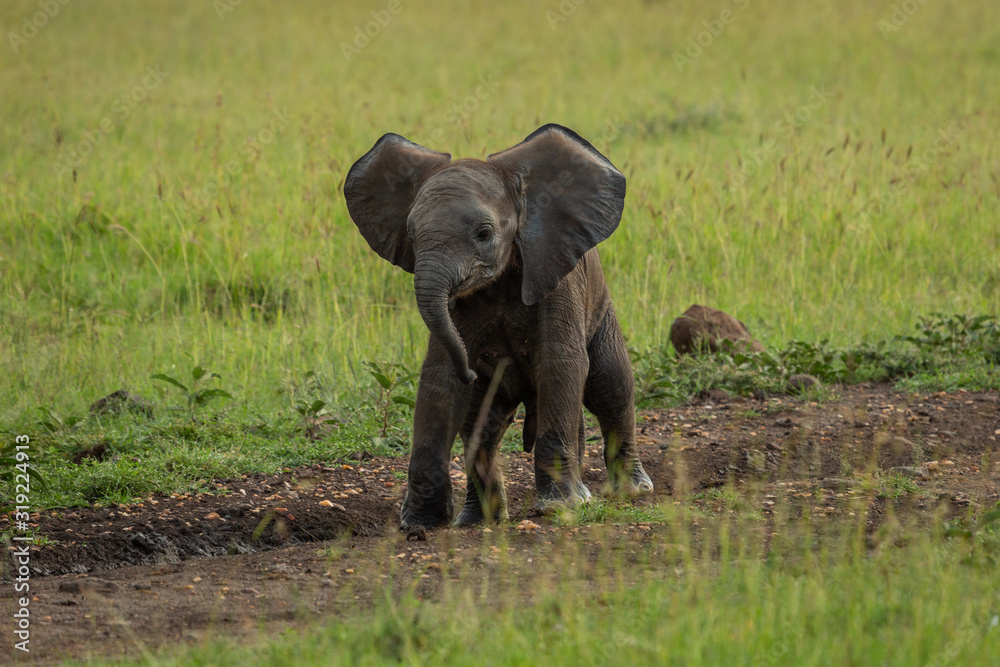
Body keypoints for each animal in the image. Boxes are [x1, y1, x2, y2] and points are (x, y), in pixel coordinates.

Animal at [344, 124, 653, 529]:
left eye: (483, 234)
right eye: (411, 236)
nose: (473, 372)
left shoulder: (557, 274)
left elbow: (562, 364)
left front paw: (558, 509)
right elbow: (440, 378)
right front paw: (419, 524)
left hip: (601, 312)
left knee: (610, 385)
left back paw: (629, 492)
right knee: (484, 425)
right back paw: (478, 521)